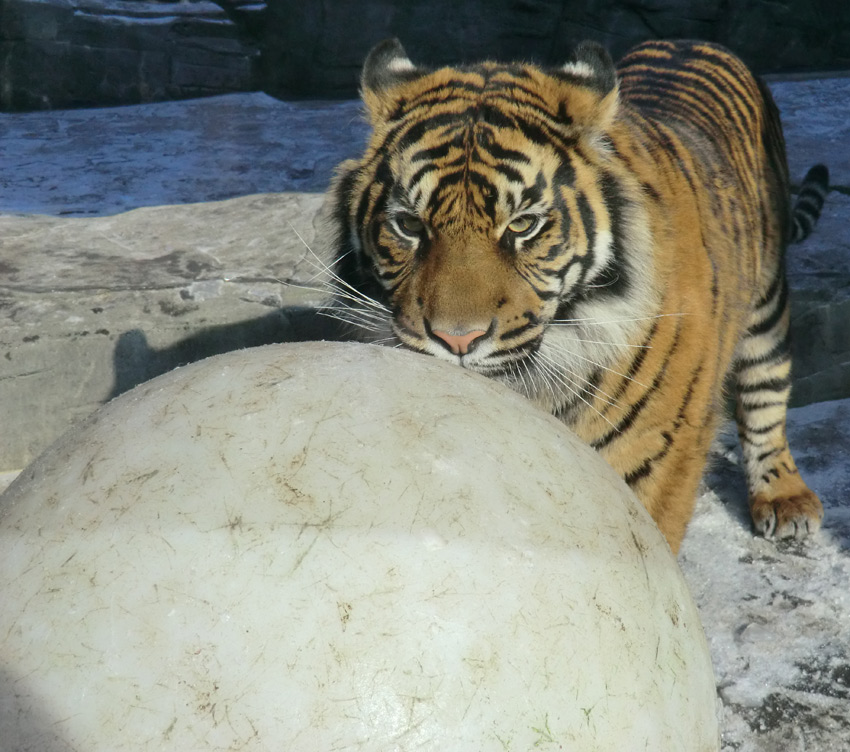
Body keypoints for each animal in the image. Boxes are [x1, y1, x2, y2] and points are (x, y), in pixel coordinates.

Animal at [322, 36, 824, 552]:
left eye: (523, 224)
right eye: (408, 225)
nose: (456, 341)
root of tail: (690, 41)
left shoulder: (657, 447)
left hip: (768, 301)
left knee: (765, 390)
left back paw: (785, 500)